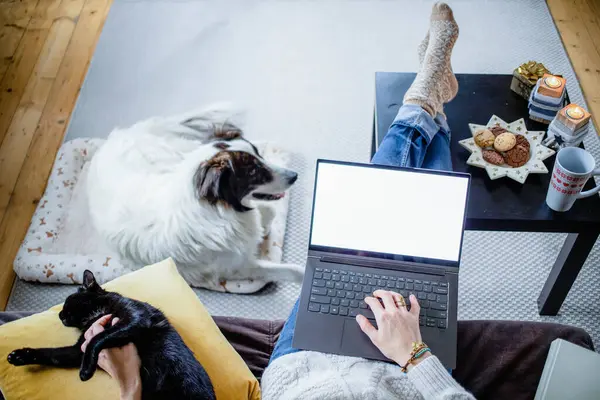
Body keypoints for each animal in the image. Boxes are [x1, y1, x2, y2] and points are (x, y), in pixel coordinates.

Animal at [6, 268, 216, 400]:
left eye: (66, 301)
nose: (60, 315)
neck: (95, 314)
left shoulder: (134, 318)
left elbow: (97, 338)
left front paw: (85, 371)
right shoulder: (77, 351)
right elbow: (51, 354)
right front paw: (20, 355)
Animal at [86, 104, 302, 290]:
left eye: (259, 154)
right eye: (253, 172)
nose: (295, 176)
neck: (217, 211)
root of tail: (116, 136)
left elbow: (269, 212)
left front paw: (264, 228)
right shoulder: (237, 268)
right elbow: (293, 270)